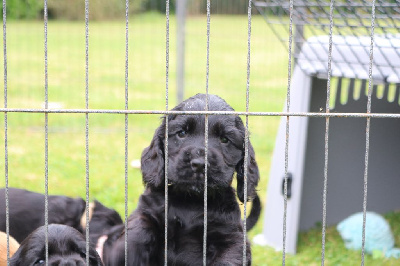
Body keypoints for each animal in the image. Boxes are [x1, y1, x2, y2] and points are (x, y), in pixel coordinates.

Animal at [107, 94, 262, 266]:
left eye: (225, 139)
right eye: (181, 133)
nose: (199, 164)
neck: (190, 200)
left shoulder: (232, 237)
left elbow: (229, 257)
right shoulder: (148, 211)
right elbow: (138, 227)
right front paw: (124, 254)